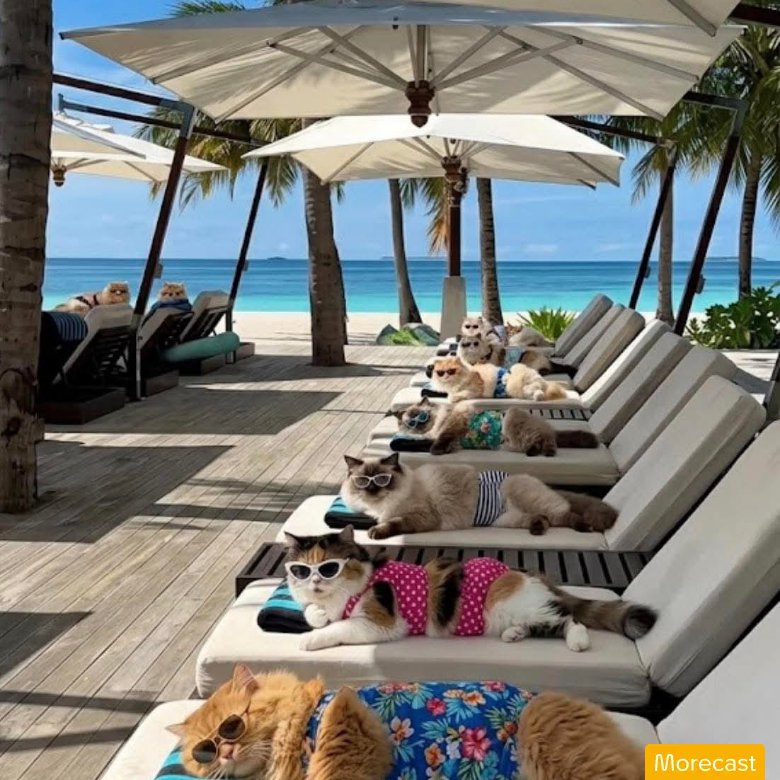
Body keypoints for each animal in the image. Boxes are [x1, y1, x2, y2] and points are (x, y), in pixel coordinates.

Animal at [284, 526, 656, 653]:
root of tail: (534, 574)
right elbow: (315, 613)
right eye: (301, 570)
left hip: (510, 604)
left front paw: (309, 639)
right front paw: (316, 613)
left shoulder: (379, 623)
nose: (315, 580)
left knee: (570, 618)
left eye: (329, 567)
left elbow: (337, 628)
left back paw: (578, 642)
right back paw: (515, 635)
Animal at [340, 453, 617, 537]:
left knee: (564, 514)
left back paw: (584, 527)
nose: (372, 489)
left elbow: (394, 524)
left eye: (382, 479)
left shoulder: (420, 517)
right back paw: (537, 530)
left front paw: (375, 532)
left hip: (530, 500)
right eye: (362, 481)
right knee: (544, 519)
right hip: (507, 520)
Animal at [394, 398, 598, 456]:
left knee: (547, 440)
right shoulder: (448, 441)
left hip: (514, 418)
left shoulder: (449, 432)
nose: (418, 424)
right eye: (410, 422)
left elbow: (434, 444)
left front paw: (435, 452)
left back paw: (544, 452)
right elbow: (414, 444)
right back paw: (533, 451)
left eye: (422, 416)